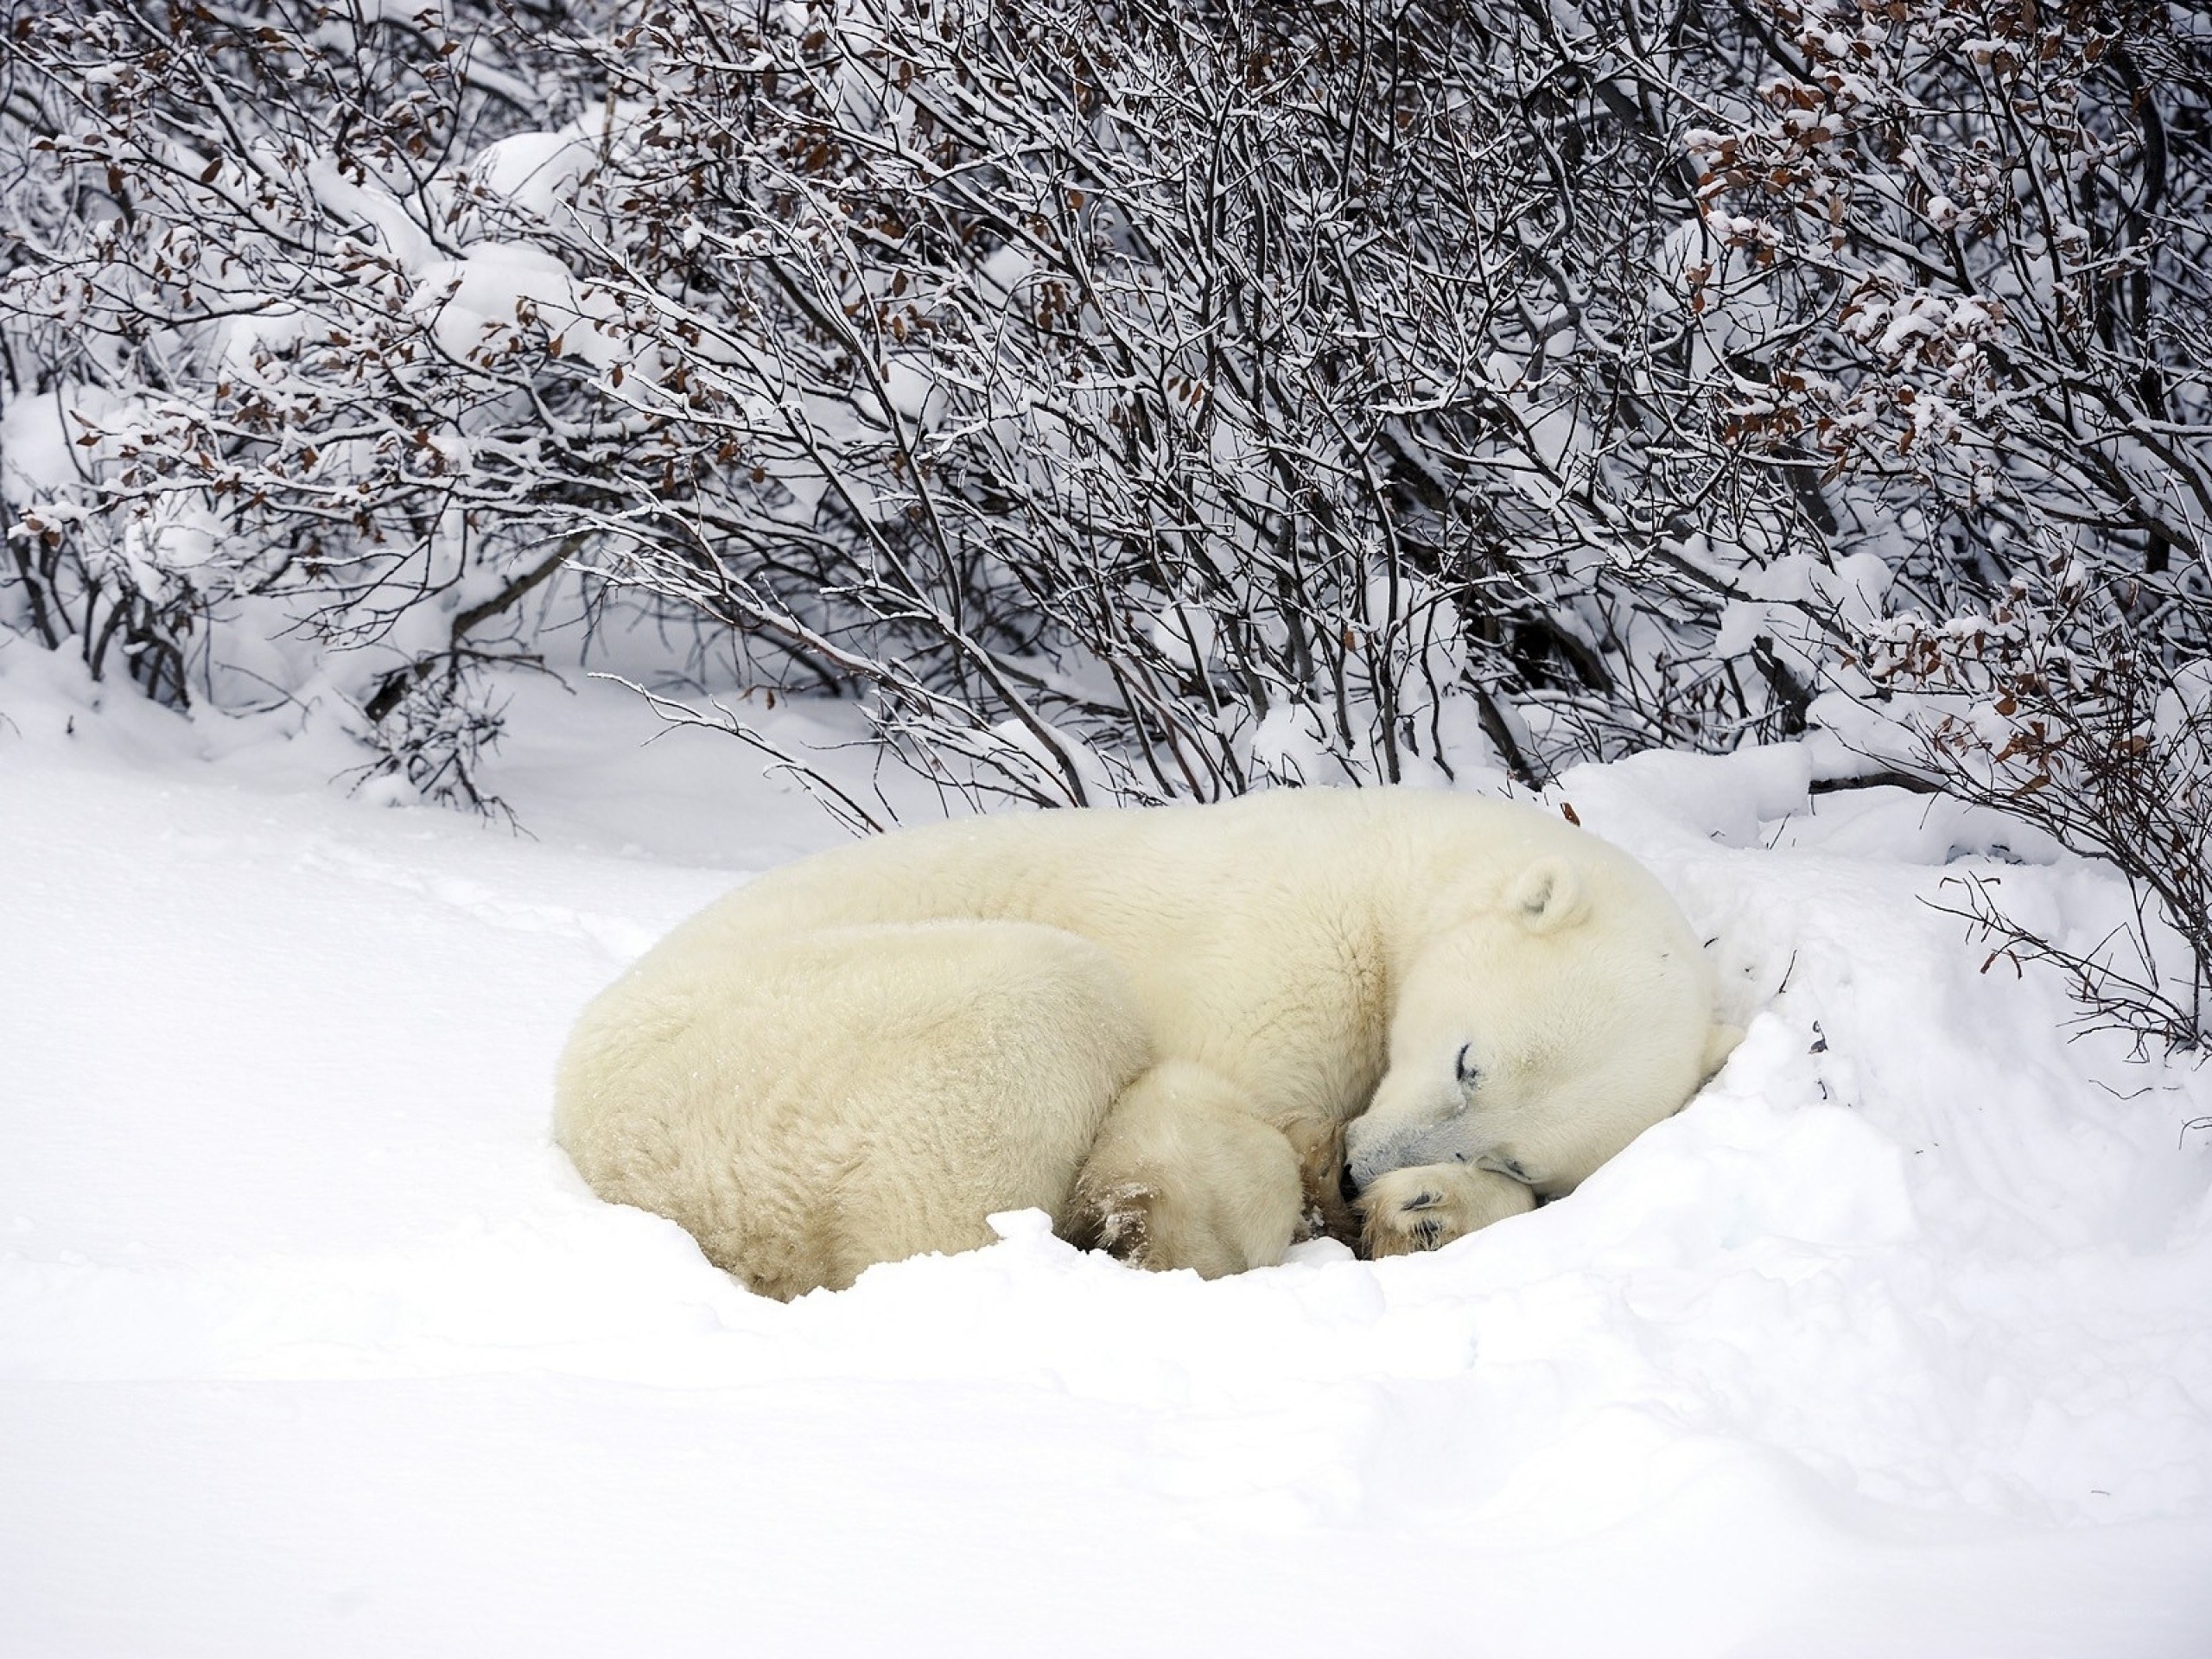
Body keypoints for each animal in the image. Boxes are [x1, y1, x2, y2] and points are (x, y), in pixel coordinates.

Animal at [554, 787, 1740, 1299]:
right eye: (1465, 1061)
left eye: (1514, 1152)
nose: (1362, 1173)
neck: (1392, 873)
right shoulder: (1281, 949)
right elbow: (1195, 1109)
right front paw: (1186, 1222)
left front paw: (1426, 1215)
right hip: (769, 1056)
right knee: (1034, 1014)